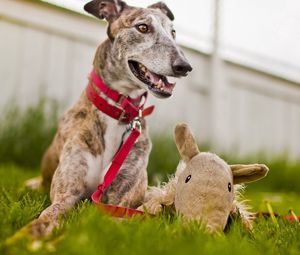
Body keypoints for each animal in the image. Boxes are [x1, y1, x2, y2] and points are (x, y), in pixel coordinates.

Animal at [24, 0, 191, 238]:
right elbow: (48, 216)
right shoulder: (67, 194)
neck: (118, 111)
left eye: (173, 32)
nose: (184, 66)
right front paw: (29, 236)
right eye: (143, 27)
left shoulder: (118, 201)